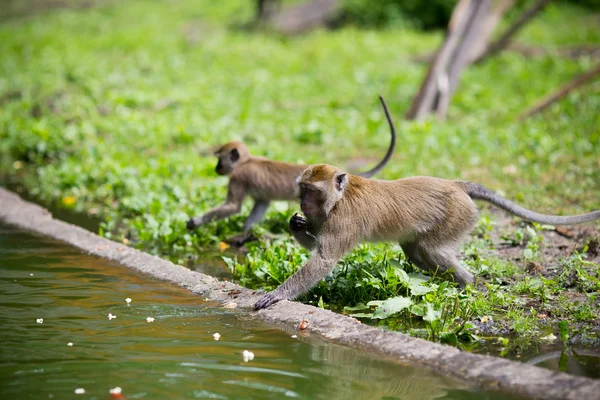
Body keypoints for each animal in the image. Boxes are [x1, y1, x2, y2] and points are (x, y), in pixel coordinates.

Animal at [185, 97, 396, 247]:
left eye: (220, 159)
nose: (217, 168)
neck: (248, 161)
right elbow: (261, 203)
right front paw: (247, 233)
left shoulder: (238, 176)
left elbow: (233, 207)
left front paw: (196, 221)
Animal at [253, 164, 600, 310]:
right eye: (302, 190)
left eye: (312, 191)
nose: (302, 204)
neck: (339, 197)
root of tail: (456, 185)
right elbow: (318, 248)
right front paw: (296, 224)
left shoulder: (343, 218)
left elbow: (325, 259)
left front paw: (277, 295)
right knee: (416, 252)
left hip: (458, 216)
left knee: (433, 251)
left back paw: (466, 285)